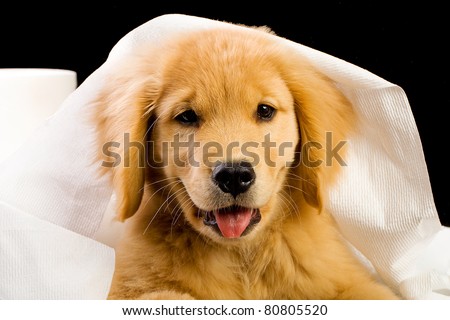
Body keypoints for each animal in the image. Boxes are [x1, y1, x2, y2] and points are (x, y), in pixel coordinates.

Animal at [95, 25, 398, 300]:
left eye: (265, 110)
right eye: (187, 116)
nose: (233, 176)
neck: (242, 256)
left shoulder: (349, 280)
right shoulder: (129, 288)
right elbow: (168, 296)